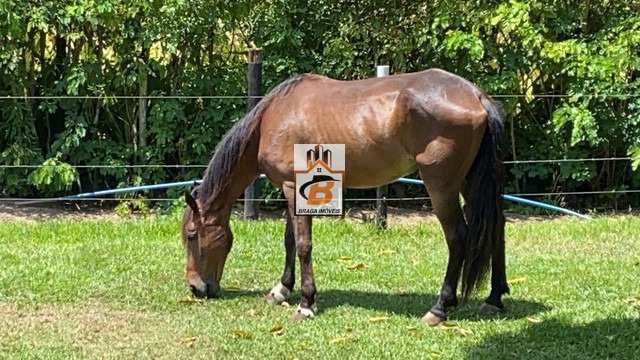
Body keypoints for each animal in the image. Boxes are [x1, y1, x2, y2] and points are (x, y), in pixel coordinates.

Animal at [181, 69, 510, 324]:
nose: (196, 288)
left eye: (192, 235)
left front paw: (306, 303)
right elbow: (290, 241)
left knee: (458, 238)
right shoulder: (291, 188)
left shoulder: (293, 187)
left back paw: (440, 307)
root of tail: (475, 96)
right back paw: (494, 298)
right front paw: (282, 289)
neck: (272, 119)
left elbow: (303, 245)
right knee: (497, 228)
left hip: (441, 187)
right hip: (471, 182)